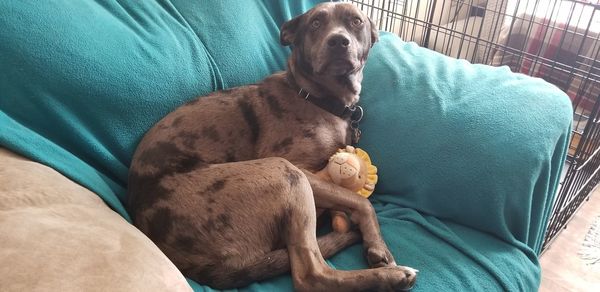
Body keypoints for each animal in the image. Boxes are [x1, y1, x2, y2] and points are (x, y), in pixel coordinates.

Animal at [126, 2, 418, 292]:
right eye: (315, 23)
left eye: (356, 21)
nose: (338, 41)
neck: (316, 98)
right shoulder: (302, 168)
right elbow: (360, 201)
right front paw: (377, 245)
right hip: (284, 172)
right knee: (311, 275)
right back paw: (390, 276)